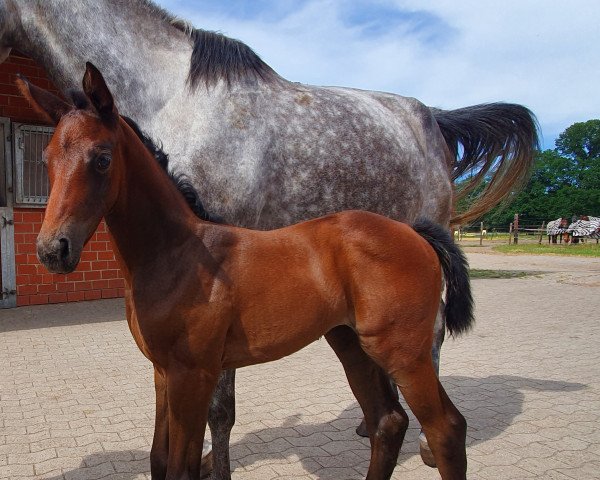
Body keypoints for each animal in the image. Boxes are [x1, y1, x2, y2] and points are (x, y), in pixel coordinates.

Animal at [21, 64, 474, 480]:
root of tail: (412, 230)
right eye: (46, 159)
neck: (177, 253)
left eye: (102, 158)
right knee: (388, 421)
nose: (53, 250)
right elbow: (159, 460)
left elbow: (181, 467)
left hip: (404, 353)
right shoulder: (162, 373)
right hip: (352, 343)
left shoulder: (193, 376)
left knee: (445, 428)